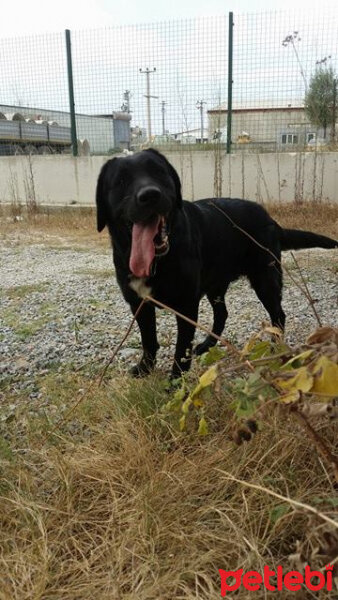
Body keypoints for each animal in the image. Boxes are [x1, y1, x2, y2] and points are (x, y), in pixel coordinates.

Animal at [95, 148, 338, 378]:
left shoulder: (186, 306)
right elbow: (148, 340)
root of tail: (270, 219)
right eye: (121, 181)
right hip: (216, 286)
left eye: (159, 172)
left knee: (278, 315)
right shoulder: (138, 303)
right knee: (222, 314)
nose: (150, 195)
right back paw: (207, 345)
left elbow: (181, 350)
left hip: (265, 280)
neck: (158, 261)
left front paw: (175, 383)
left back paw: (275, 349)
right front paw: (145, 368)